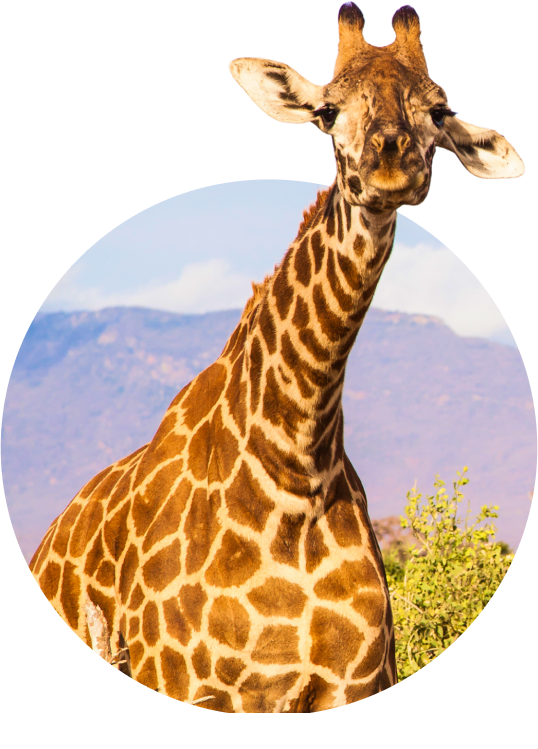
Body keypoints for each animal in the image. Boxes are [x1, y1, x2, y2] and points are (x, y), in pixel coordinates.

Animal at [29, 2, 524, 712]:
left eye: (438, 111)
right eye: (328, 111)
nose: (392, 164)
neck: (295, 472)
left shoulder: (353, 682)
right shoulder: (185, 680)